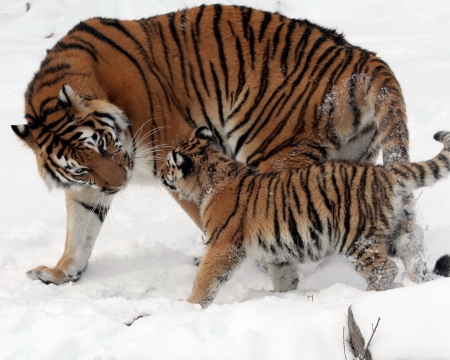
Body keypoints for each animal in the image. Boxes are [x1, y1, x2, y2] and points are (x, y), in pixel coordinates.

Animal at [11, 2, 440, 284]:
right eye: (80, 166)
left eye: (102, 143)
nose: (119, 185)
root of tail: (364, 58)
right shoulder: (89, 187)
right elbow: (80, 228)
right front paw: (60, 272)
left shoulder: (176, 153)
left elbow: (209, 214)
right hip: (356, 162)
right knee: (401, 224)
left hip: (271, 150)